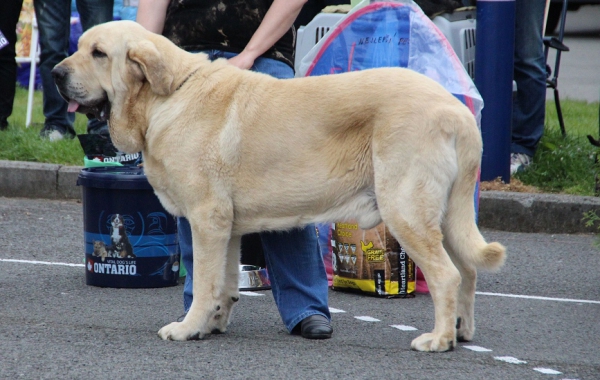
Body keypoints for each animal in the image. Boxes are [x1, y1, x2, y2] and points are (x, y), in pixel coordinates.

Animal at [55, 20, 506, 352]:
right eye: (81, 47)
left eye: (98, 53)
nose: (56, 73)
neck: (165, 98)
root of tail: (454, 109)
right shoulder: (227, 227)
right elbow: (224, 283)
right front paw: (214, 324)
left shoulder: (206, 219)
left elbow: (203, 282)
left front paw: (188, 328)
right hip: (444, 214)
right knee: (467, 270)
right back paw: (462, 330)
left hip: (405, 209)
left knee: (447, 275)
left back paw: (439, 339)